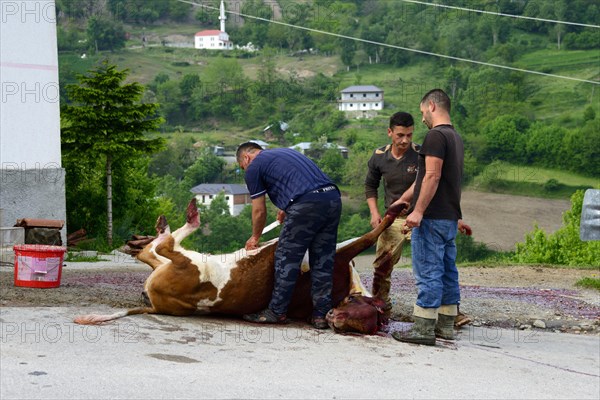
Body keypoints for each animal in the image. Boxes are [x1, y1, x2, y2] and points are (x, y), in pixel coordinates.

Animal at [75, 198, 404, 332]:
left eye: (356, 320)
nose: (334, 318)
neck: (347, 290)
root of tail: (156, 305)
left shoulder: (342, 253)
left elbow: (372, 234)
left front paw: (393, 213)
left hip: (185, 265)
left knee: (164, 246)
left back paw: (179, 222)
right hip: (176, 263)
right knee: (153, 251)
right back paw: (147, 235)